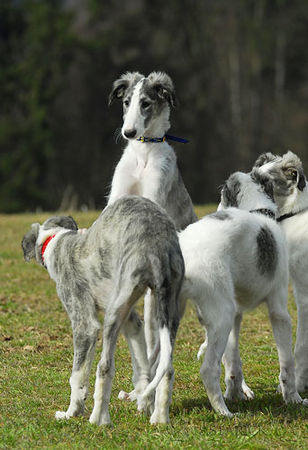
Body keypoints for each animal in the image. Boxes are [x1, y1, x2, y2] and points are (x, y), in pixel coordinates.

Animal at [22, 196, 185, 426]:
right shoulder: (132, 322)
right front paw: (144, 403)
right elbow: (142, 367)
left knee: (104, 367)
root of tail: (156, 247)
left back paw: (99, 419)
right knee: (168, 369)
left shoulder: (84, 324)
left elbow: (77, 376)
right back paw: (160, 418)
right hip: (166, 309)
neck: (57, 241)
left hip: (113, 315)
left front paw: (71, 412)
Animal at [179, 170, 306, 418]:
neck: (255, 209)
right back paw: (224, 412)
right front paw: (293, 398)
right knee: (208, 369)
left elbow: (233, 361)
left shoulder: (237, 315)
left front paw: (236, 393)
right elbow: (287, 363)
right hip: (222, 315)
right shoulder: (279, 310)